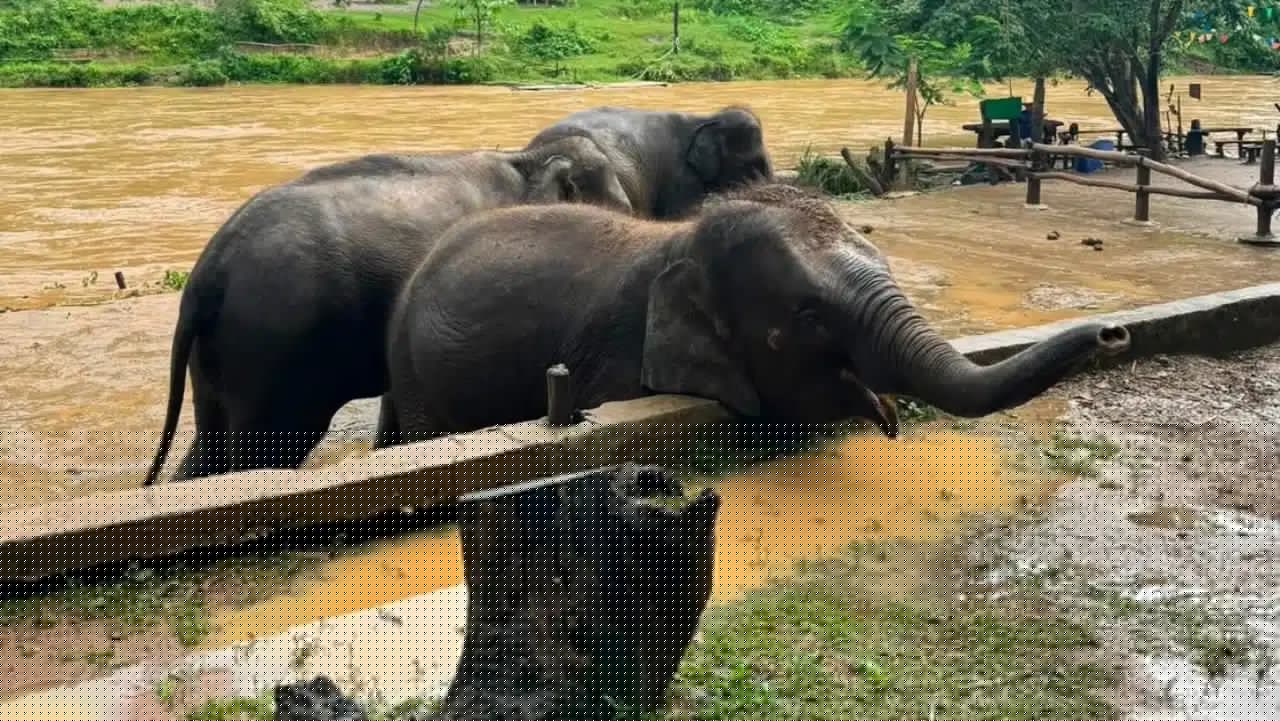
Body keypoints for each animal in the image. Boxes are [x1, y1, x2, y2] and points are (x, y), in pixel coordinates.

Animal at [144, 137, 633, 486]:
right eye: (622, 209)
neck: (526, 160)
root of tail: (208, 271)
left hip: (220, 356)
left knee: (207, 449)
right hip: (272, 348)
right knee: (265, 445)